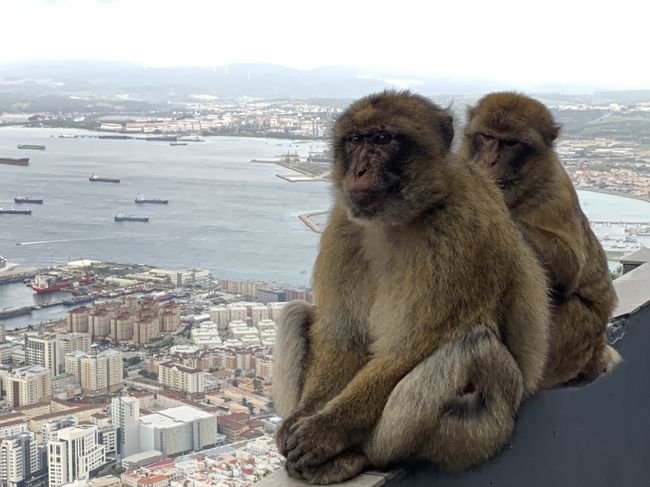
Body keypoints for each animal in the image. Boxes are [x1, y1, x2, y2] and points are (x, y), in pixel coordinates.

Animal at [270, 90, 548, 484]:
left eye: (383, 139)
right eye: (355, 140)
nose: (358, 170)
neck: (399, 220)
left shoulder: (459, 232)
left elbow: (406, 349)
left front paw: (324, 431)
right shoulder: (343, 226)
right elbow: (343, 337)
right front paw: (303, 416)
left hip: (488, 431)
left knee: (472, 345)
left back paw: (361, 455)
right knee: (295, 312)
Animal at [458, 92, 620, 388]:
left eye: (510, 143)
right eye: (487, 137)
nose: (490, 161)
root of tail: (597, 350)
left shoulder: (556, 191)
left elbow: (570, 267)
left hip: (575, 339)